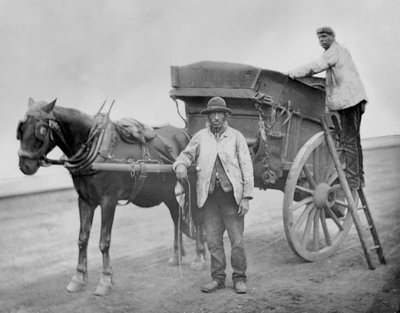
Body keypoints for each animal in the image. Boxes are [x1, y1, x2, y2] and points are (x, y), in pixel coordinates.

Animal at [16, 97, 205, 294]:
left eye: (41, 130)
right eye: (21, 129)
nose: (24, 165)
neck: (94, 147)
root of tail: (186, 133)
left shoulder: (109, 201)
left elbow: (103, 242)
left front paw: (105, 279)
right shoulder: (85, 200)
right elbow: (82, 239)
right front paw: (78, 278)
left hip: (191, 185)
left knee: (198, 217)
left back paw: (199, 257)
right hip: (166, 191)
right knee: (177, 217)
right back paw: (177, 255)